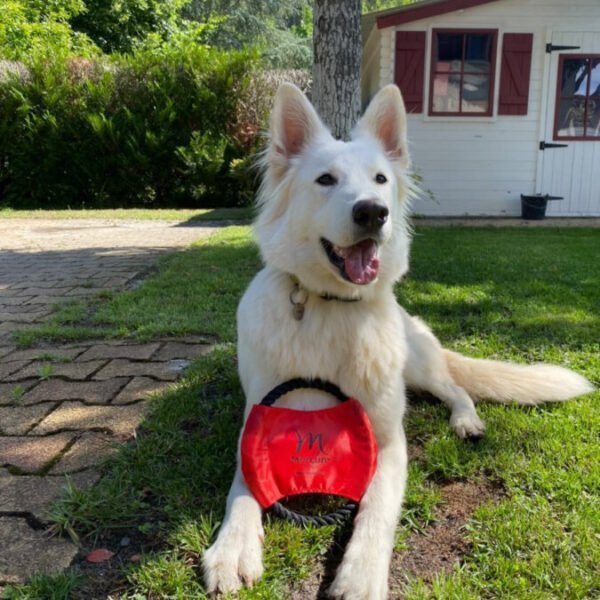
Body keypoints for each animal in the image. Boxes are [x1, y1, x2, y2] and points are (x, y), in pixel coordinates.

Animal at [203, 82, 596, 596]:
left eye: (380, 179)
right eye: (325, 180)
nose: (373, 212)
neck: (333, 308)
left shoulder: (389, 443)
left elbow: (376, 514)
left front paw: (360, 577)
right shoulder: (258, 422)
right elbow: (242, 491)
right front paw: (232, 548)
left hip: (418, 365)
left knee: (456, 387)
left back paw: (466, 421)